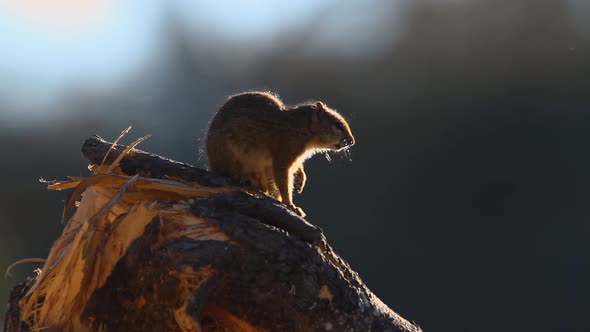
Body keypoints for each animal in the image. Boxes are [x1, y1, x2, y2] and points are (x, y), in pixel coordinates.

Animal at [208, 91, 356, 215]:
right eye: (337, 125)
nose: (352, 141)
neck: (302, 127)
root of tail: (212, 163)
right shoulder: (284, 154)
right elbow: (283, 181)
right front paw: (290, 205)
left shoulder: (295, 158)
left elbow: (298, 167)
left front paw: (301, 179)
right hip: (232, 157)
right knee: (228, 171)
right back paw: (245, 178)